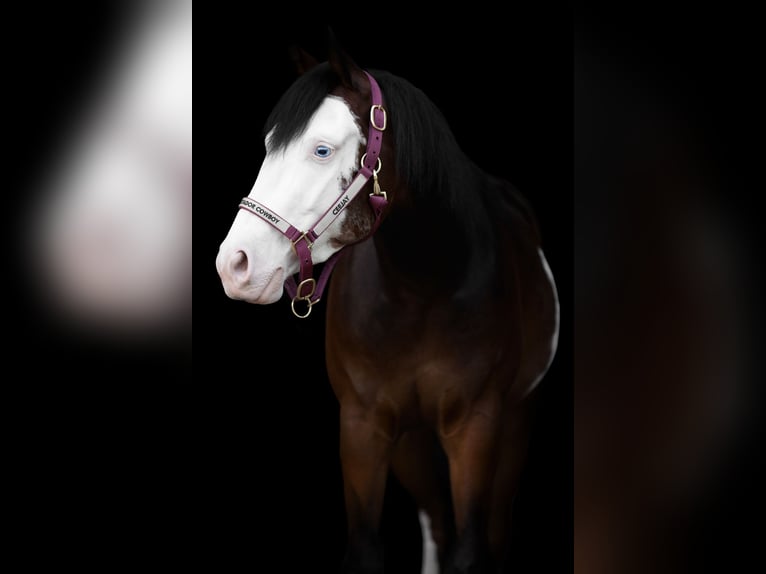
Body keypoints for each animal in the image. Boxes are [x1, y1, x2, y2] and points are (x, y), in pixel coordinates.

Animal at [217, 39, 559, 574]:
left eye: (321, 149)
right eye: (271, 145)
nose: (235, 264)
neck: (421, 291)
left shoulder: (477, 427)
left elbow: (471, 549)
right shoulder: (363, 426)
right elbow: (368, 547)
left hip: (516, 422)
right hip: (411, 443)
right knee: (436, 523)